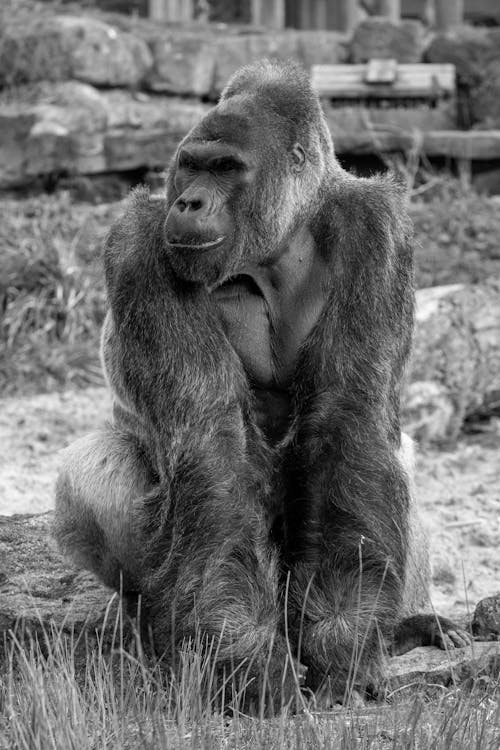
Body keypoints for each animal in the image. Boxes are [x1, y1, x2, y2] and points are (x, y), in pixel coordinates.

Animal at [53, 58, 468, 712]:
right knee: (99, 470)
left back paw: (407, 626)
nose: (190, 201)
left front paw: (344, 642)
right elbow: (211, 443)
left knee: (391, 457)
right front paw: (247, 661)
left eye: (226, 168)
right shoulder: (142, 241)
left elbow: (351, 421)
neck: (275, 244)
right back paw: (154, 638)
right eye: (190, 165)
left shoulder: (375, 232)